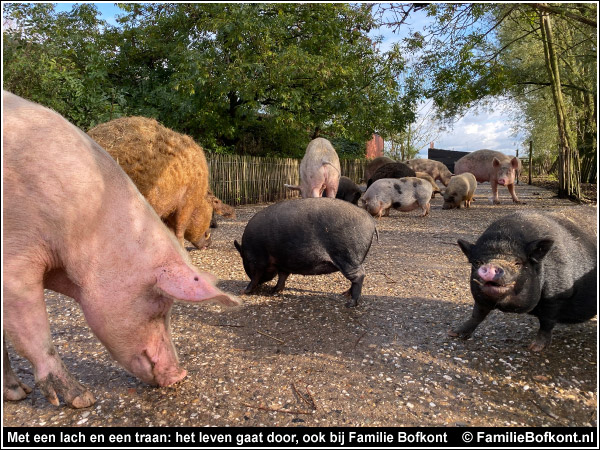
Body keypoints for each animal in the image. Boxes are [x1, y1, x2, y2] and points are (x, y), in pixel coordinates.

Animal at [2, 91, 241, 408]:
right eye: (160, 306)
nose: (180, 374)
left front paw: (17, 392)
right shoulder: (15, 258)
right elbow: (35, 332)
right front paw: (82, 399)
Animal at [233, 199, 376, 308]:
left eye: (245, 260)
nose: (264, 286)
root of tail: (370, 220)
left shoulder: (257, 260)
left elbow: (255, 277)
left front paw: (243, 291)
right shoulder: (283, 262)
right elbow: (282, 276)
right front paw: (273, 291)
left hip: (347, 255)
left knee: (359, 275)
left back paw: (349, 303)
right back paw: (344, 294)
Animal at [450, 208, 596, 352]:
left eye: (517, 263)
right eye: (477, 262)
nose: (491, 266)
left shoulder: (557, 295)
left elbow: (547, 322)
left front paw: (534, 348)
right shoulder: (480, 297)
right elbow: (477, 314)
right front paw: (454, 334)